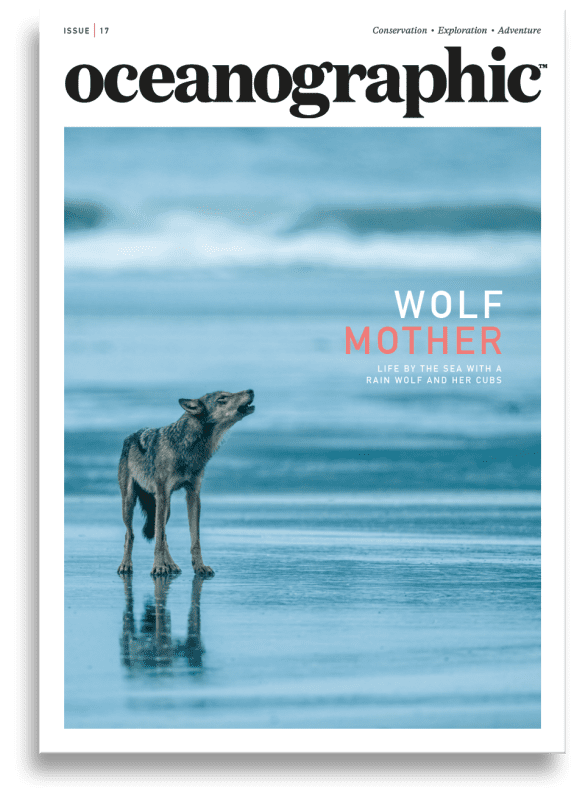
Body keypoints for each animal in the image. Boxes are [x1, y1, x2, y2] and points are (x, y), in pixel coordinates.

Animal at [117, 389, 255, 576]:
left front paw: (199, 566)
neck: (186, 448)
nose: (251, 391)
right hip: (130, 503)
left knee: (163, 534)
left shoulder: (193, 495)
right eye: (222, 398)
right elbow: (157, 539)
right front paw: (158, 566)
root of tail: (130, 436)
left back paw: (171, 564)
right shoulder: (162, 494)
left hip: (165, 508)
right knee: (130, 534)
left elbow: (193, 539)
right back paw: (126, 565)